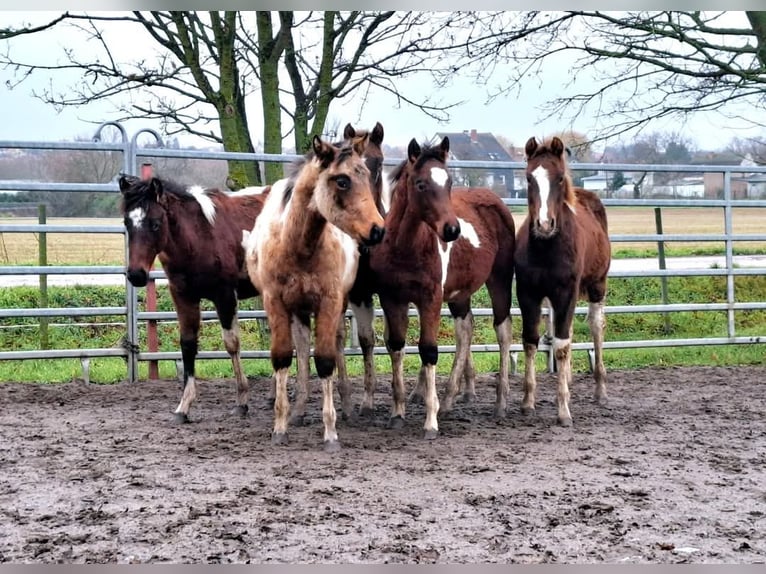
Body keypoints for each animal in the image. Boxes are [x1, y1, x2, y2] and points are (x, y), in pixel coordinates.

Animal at [117, 178, 268, 426]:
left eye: (156, 224)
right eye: (127, 222)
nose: (136, 275)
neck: (198, 238)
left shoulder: (225, 296)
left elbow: (232, 344)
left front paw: (242, 402)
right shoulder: (183, 297)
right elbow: (187, 344)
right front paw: (183, 407)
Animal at [246, 136, 388, 454]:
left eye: (366, 174)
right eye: (342, 181)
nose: (377, 230)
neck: (297, 245)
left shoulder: (330, 301)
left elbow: (325, 360)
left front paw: (331, 432)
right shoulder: (275, 303)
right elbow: (283, 357)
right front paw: (280, 427)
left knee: (336, 344)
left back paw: (346, 407)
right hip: (298, 310)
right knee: (301, 348)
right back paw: (298, 409)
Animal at [368, 137, 520, 438]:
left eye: (449, 182)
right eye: (420, 184)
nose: (452, 230)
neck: (405, 248)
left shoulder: (431, 299)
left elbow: (428, 350)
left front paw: (430, 422)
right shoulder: (392, 299)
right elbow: (397, 346)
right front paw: (397, 413)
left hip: (499, 280)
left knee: (503, 330)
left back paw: (500, 403)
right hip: (460, 294)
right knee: (465, 331)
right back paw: (449, 399)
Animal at [512, 136, 616, 428]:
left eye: (559, 178)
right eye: (528, 178)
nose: (544, 224)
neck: (547, 247)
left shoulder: (566, 293)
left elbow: (560, 346)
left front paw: (563, 411)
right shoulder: (528, 293)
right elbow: (531, 341)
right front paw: (527, 402)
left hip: (597, 286)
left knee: (595, 327)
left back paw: (600, 390)